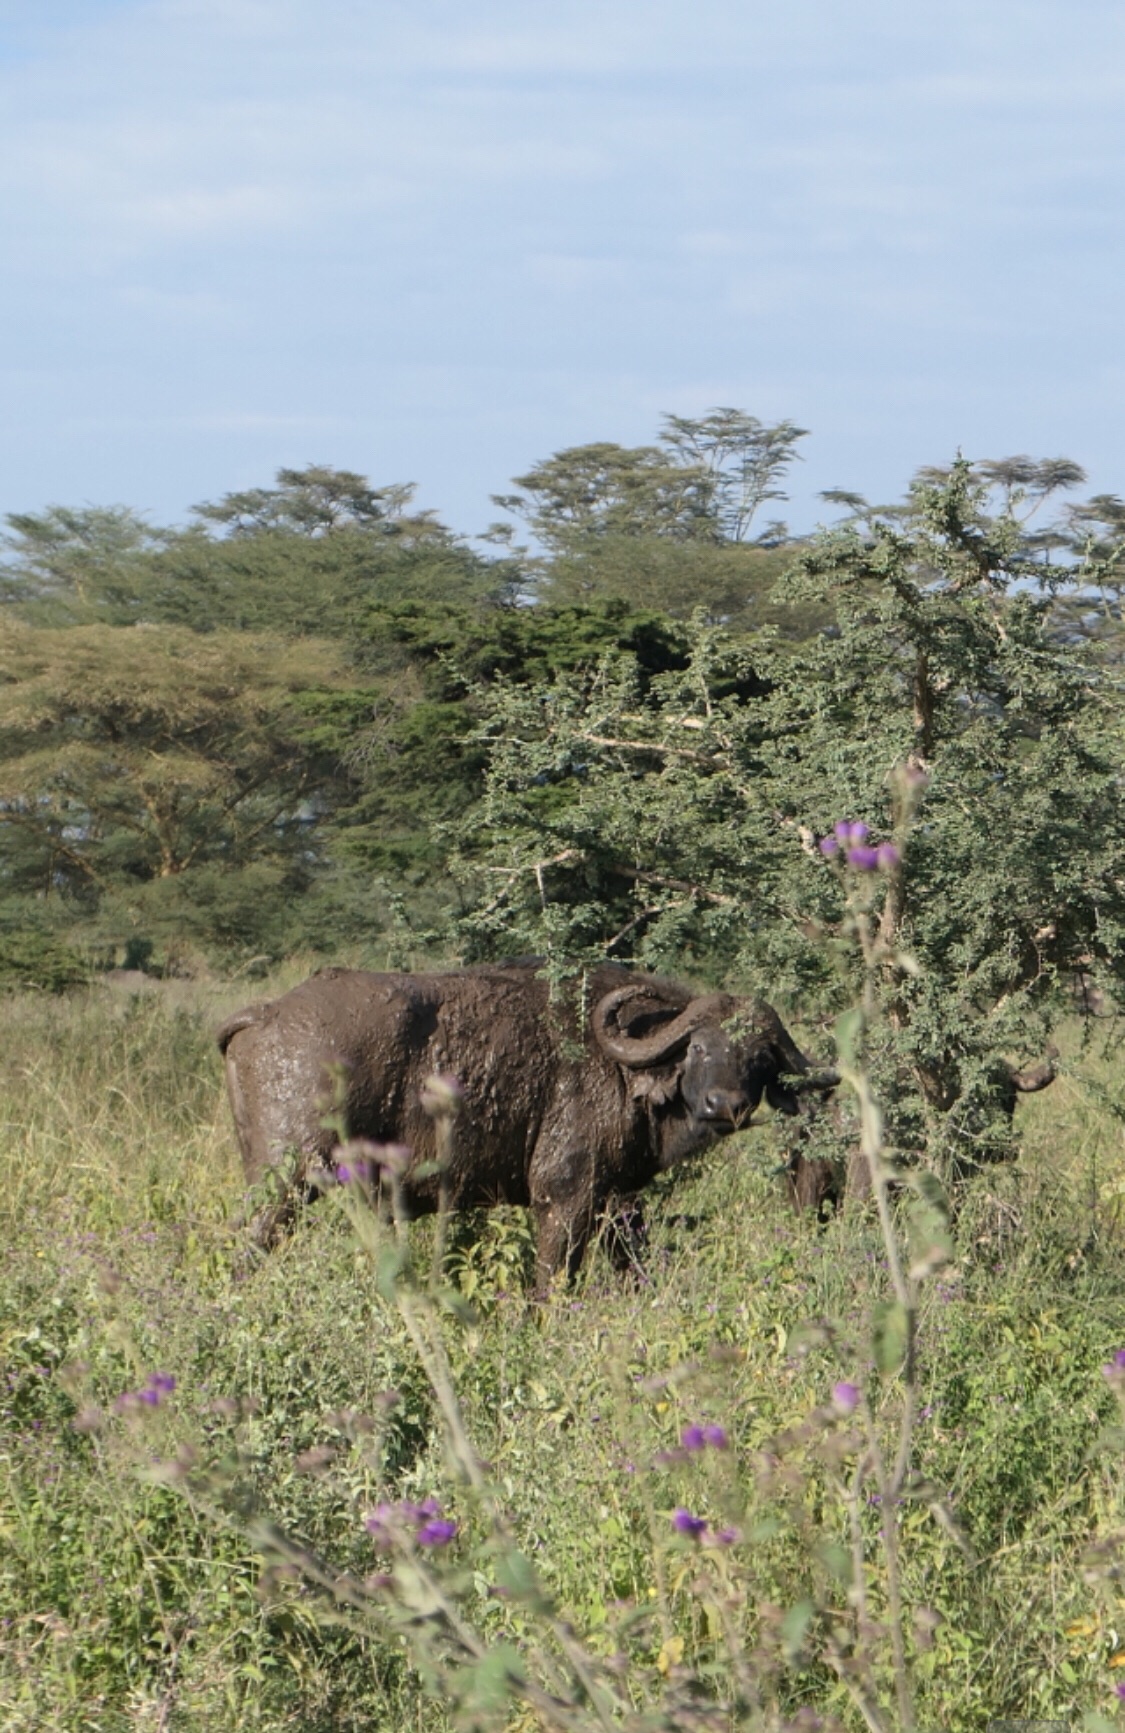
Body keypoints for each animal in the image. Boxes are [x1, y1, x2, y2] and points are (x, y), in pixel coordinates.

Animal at [219, 963, 828, 1289]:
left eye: (758, 1056)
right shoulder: (564, 1195)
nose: (727, 1104)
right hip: (282, 1183)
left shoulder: (620, 1200)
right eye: (699, 1046)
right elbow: (552, 1282)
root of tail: (268, 1013)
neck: (624, 1069)